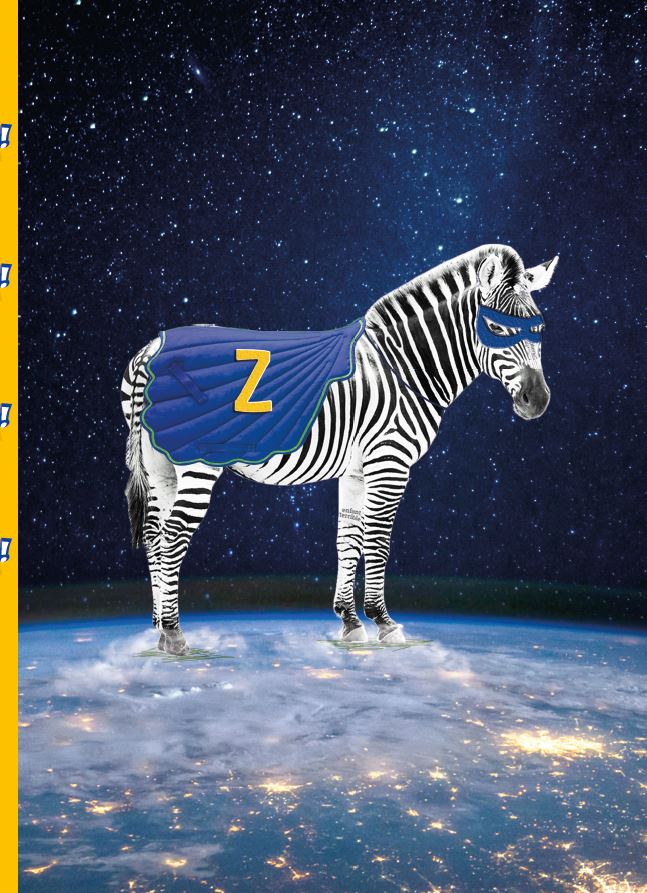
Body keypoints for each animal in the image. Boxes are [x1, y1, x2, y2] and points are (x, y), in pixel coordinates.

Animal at [121, 244, 557, 655]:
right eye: (496, 327)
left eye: (539, 327)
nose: (537, 402)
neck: (403, 366)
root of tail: (150, 350)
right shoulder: (389, 461)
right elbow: (378, 540)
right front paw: (383, 621)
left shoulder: (356, 471)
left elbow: (348, 540)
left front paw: (349, 620)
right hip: (196, 463)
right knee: (173, 537)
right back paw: (174, 634)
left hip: (159, 468)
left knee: (155, 536)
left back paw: (157, 627)